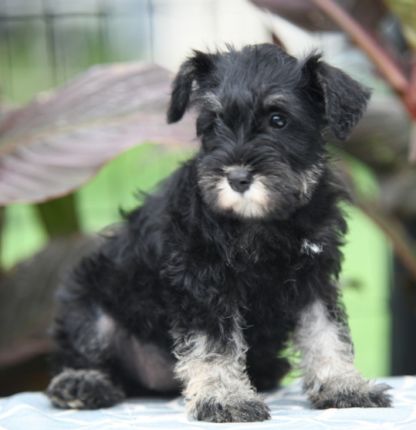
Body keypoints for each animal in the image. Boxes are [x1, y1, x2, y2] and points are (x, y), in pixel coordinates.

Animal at [47, 44, 392, 424]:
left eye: (278, 120)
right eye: (213, 122)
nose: (237, 178)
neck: (261, 221)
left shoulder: (314, 278)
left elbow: (326, 333)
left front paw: (344, 386)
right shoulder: (202, 282)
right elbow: (213, 344)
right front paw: (224, 398)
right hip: (91, 306)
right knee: (81, 351)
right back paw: (81, 384)